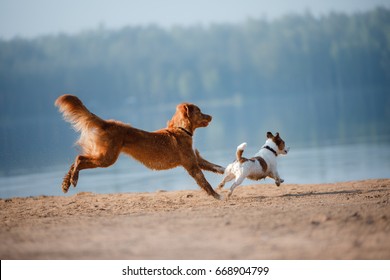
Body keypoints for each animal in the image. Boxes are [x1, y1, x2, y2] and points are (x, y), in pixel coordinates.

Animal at [55, 95, 225, 200]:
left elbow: (218, 167)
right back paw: (73, 179)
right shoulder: (192, 165)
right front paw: (217, 196)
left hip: (101, 155)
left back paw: (66, 183)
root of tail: (107, 123)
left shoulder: (197, 160)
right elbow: (205, 182)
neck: (180, 129)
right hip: (106, 159)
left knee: (76, 160)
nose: (211, 116)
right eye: (199, 111)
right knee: (79, 158)